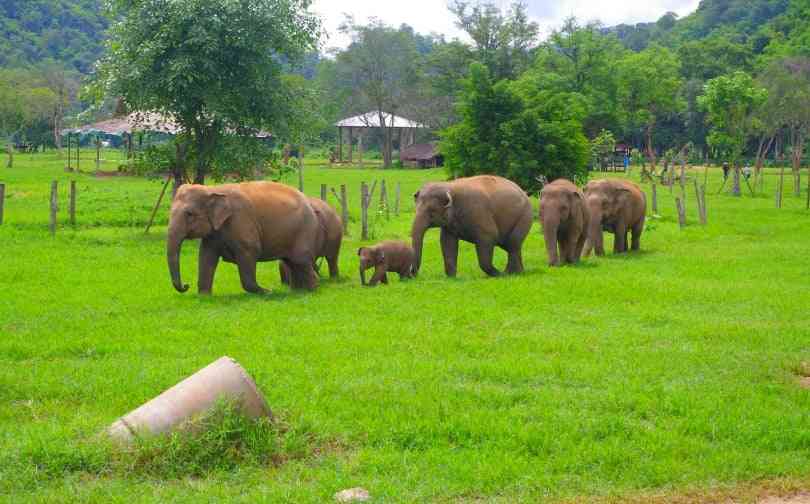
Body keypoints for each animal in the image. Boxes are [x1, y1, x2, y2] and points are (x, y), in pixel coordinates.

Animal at [166, 181, 320, 294]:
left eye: (189, 214)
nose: (186, 285)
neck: (212, 189)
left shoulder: (240, 220)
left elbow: (250, 251)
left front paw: (267, 292)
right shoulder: (214, 232)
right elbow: (206, 255)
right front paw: (204, 296)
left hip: (305, 230)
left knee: (300, 260)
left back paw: (311, 291)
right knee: (292, 262)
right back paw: (298, 291)